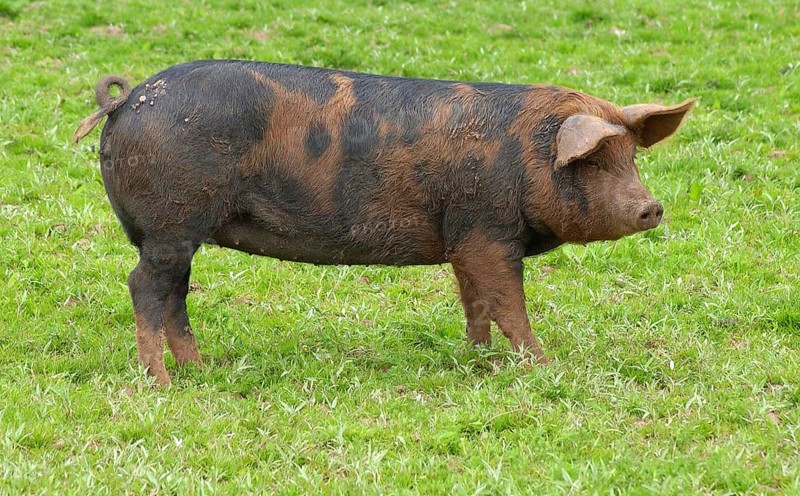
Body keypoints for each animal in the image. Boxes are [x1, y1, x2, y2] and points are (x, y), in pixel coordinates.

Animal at [73, 60, 696, 384]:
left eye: (630, 156)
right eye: (591, 160)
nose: (652, 207)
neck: (522, 156)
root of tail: (125, 101)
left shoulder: (463, 236)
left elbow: (476, 302)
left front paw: (481, 362)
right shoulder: (488, 230)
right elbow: (509, 303)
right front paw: (544, 367)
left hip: (176, 232)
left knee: (173, 293)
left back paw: (202, 369)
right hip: (172, 224)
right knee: (144, 286)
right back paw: (161, 382)